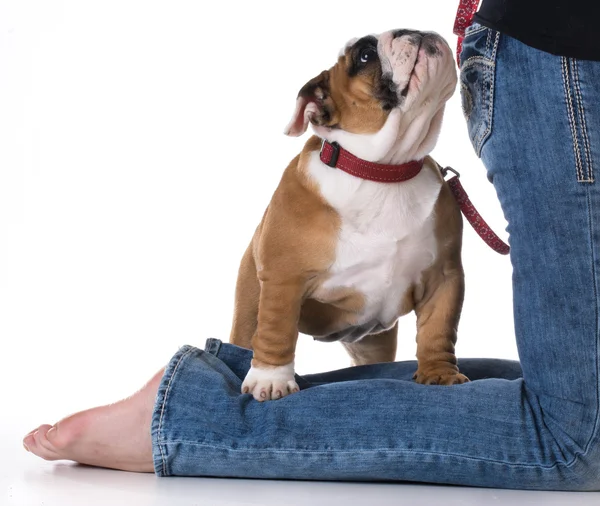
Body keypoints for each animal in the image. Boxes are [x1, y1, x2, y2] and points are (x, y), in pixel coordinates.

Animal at [229, 29, 464, 402]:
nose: (414, 31)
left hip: (372, 343)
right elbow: (277, 328)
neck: (382, 171)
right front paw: (272, 379)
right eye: (366, 55)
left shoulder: (444, 277)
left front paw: (440, 374)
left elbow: (438, 330)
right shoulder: (284, 278)